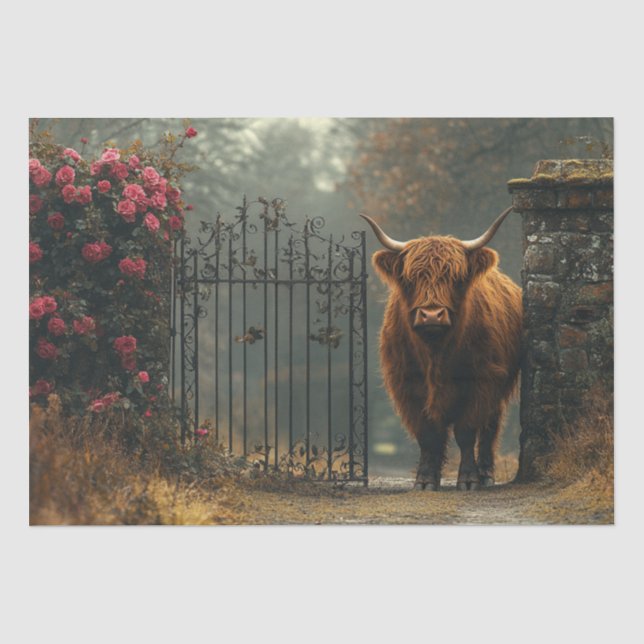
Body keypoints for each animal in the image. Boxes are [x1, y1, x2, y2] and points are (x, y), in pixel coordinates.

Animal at [361, 208, 522, 490]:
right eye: (411, 278)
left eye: (455, 278)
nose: (432, 315)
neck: (435, 353)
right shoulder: (406, 384)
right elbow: (428, 435)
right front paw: (426, 479)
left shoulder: (481, 380)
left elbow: (466, 431)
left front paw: (468, 479)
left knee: (490, 427)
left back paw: (486, 473)